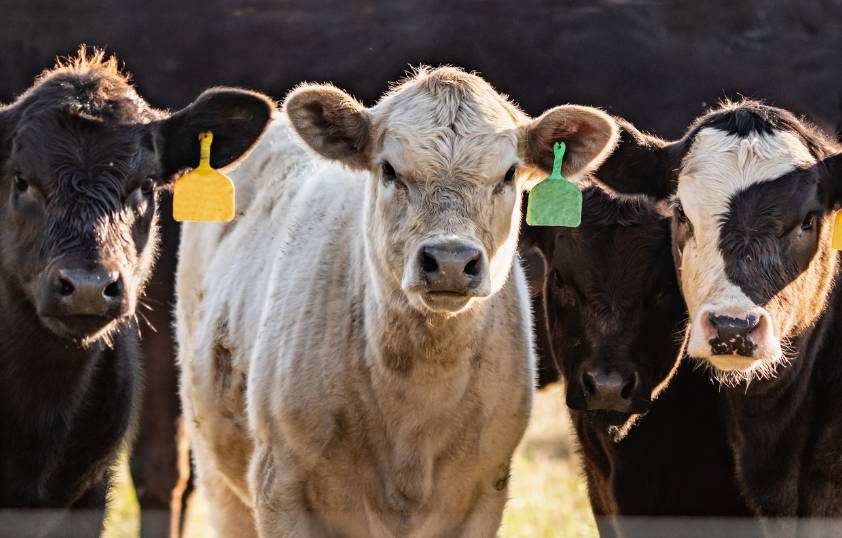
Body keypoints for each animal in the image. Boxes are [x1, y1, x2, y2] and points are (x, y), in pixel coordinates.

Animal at [174, 68, 616, 536]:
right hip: (217, 472)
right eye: (389, 169)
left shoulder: (484, 490)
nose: (450, 261)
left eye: (509, 174)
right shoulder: (280, 485)